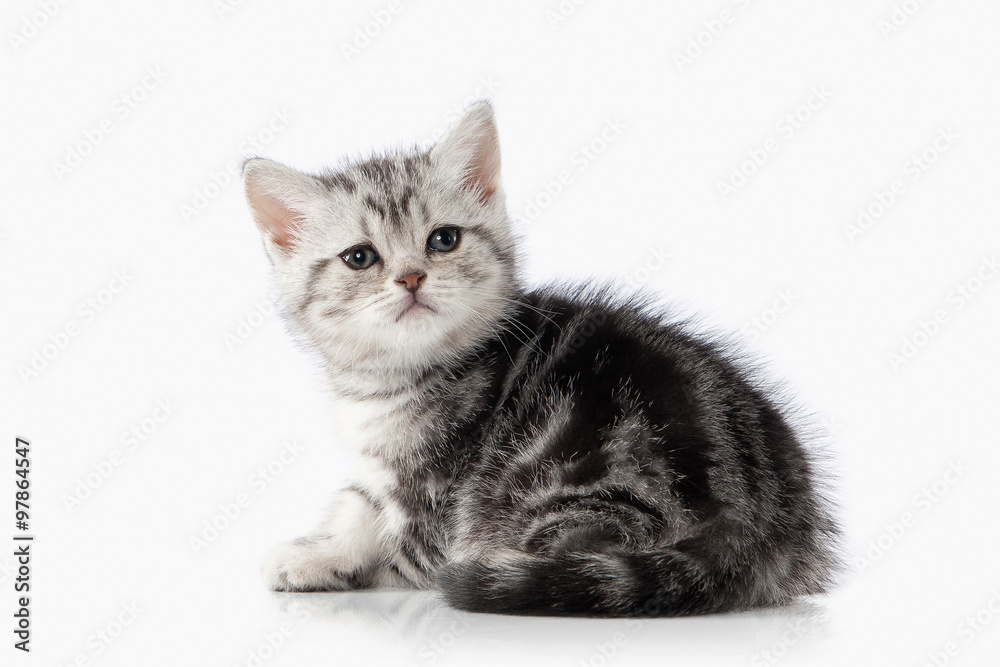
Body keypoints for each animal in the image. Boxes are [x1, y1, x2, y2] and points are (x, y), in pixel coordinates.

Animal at [244, 102, 844, 620]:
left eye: (443, 239)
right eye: (360, 257)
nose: (412, 277)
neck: (391, 378)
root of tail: (764, 528)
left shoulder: (440, 503)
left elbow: (400, 555)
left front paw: (318, 564)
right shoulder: (379, 474)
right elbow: (355, 504)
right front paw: (318, 546)